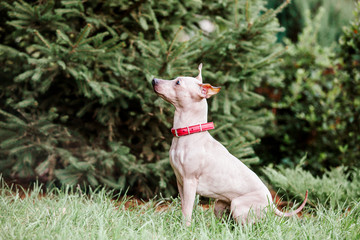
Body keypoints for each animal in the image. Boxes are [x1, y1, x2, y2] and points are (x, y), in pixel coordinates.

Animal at [152, 63, 306, 225]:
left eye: (178, 82)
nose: (154, 80)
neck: (188, 134)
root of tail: (272, 204)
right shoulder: (180, 182)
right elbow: (183, 208)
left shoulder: (189, 182)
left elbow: (187, 211)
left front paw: (185, 228)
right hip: (219, 205)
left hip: (238, 205)